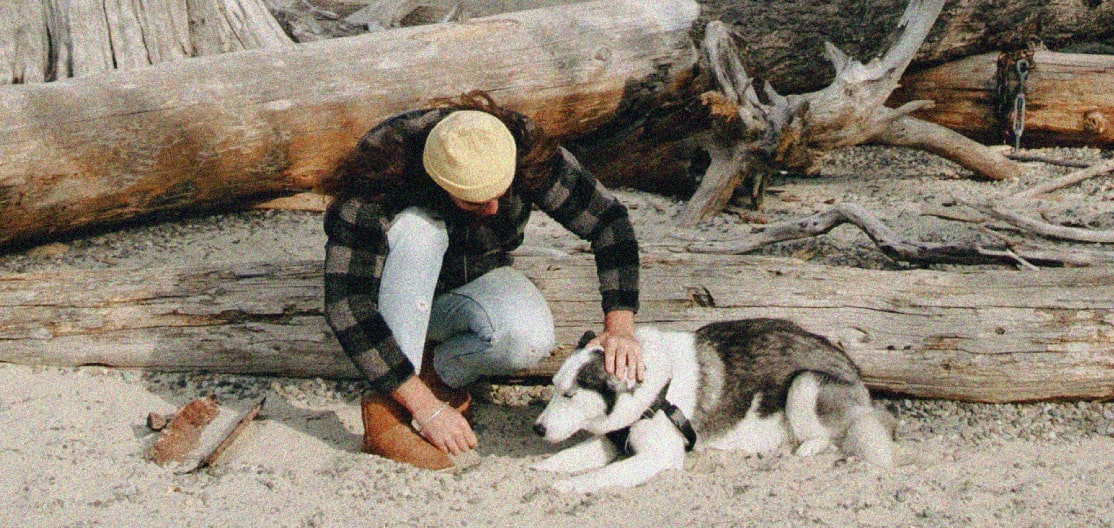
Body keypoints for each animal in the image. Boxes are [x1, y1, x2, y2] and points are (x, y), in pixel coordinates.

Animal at [530, 318, 895, 494]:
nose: (538, 428)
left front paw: (573, 485)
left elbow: (606, 474)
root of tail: (851, 365)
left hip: (804, 385)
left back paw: (809, 446)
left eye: (570, 395)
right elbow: (571, 455)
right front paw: (549, 466)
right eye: (555, 388)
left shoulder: (659, 457)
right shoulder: (613, 438)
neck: (655, 392)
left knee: (836, 433)